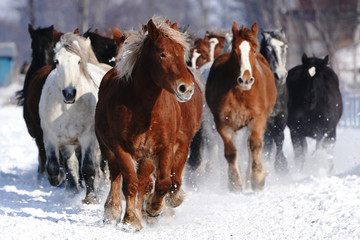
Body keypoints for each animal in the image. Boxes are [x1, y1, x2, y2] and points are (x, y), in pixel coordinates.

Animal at [38, 32, 110, 203]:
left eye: (78, 61)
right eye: (57, 61)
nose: (69, 93)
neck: (67, 108)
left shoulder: (88, 138)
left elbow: (88, 168)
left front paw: (90, 198)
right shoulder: (51, 137)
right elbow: (54, 167)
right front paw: (61, 181)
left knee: (100, 167)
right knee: (71, 165)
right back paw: (72, 189)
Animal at [95, 15, 202, 230]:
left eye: (182, 53)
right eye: (162, 54)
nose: (186, 88)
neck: (144, 110)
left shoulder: (165, 147)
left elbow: (163, 183)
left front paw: (153, 208)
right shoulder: (121, 148)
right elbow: (130, 183)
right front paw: (130, 221)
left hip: (146, 158)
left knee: (145, 182)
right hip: (109, 149)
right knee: (116, 176)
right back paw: (113, 211)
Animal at [205, 22, 276, 191]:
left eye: (254, 50)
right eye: (234, 51)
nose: (245, 80)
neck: (241, 93)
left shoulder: (257, 119)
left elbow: (255, 146)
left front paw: (257, 179)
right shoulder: (223, 122)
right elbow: (231, 152)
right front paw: (235, 183)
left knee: (251, 147)